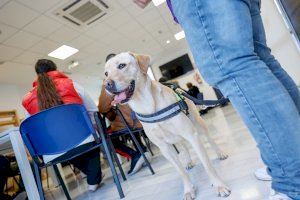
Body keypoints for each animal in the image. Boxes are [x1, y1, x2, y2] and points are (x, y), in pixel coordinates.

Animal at [103, 52, 232, 199]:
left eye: (122, 65)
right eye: (106, 73)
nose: (107, 84)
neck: (147, 105)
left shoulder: (192, 136)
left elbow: (207, 165)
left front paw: (219, 185)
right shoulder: (165, 148)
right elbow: (181, 172)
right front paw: (188, 189)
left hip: (199, 125)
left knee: (210, 140)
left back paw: (220, 153)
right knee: (183, 145)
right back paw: (188, 161)